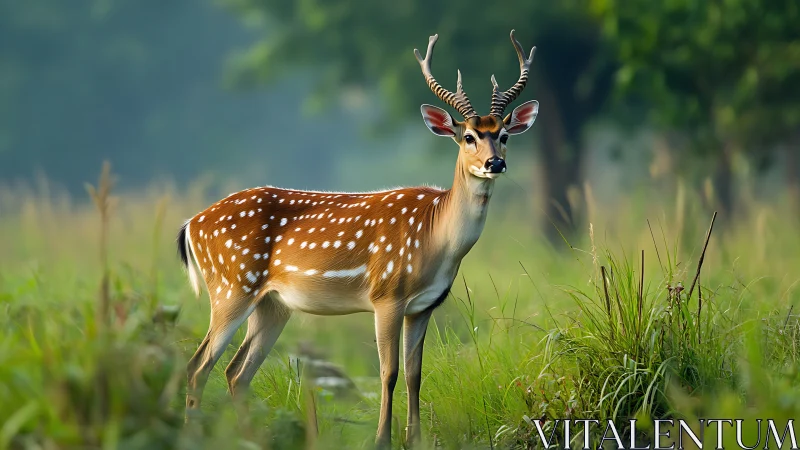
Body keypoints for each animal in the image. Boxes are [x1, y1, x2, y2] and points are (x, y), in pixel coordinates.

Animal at [177, 30, 538, 448]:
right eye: (467, 137)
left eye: (504, 135)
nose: (495, 163)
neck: (437, 241)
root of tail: (191, 225)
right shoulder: (387, 294)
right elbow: (388, 372)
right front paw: (382, 439)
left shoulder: (424, 305)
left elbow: (415, 373)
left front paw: (415, 438)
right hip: (231, 286)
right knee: (198, 365)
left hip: (272, 303)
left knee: (236, 372)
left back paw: (251, 437)